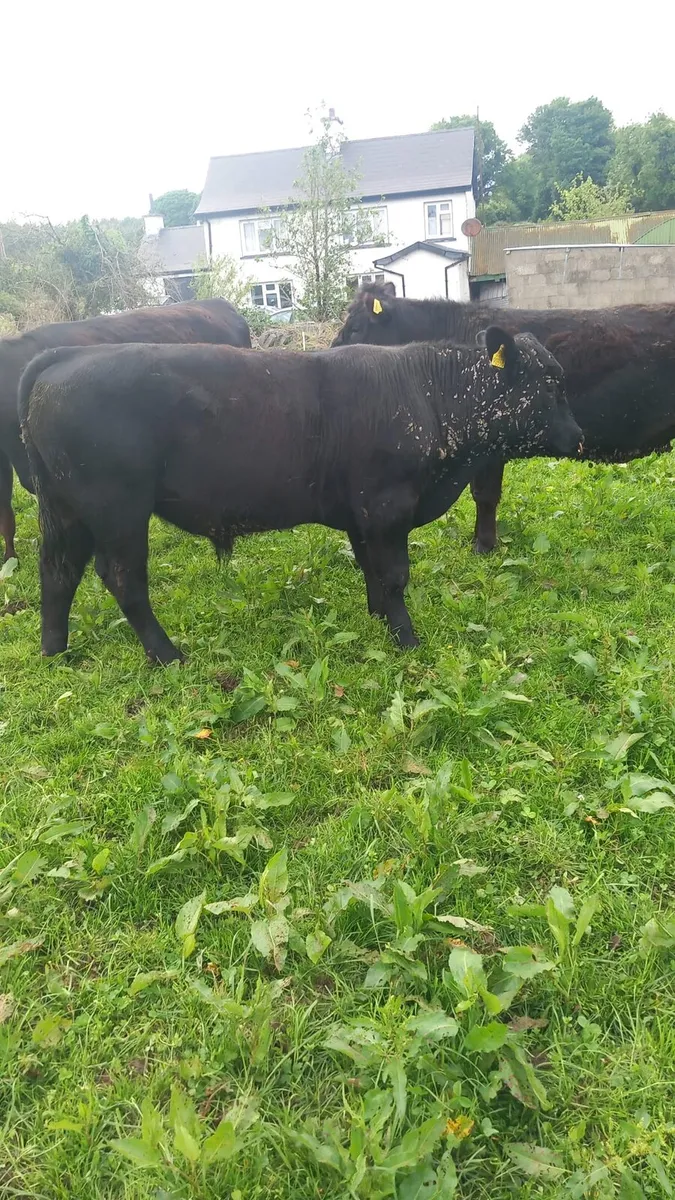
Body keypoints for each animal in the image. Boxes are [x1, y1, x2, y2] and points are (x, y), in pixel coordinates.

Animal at [18, 330, 581, 664]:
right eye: (551, 383)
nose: (579, 436)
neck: (429, 393)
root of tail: (66, 355)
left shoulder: (361, 516)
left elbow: (371, 571)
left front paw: (378, 619)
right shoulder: (387, 507)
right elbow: (395, 576)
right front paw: (406, 639)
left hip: (66, 510)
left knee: (58, 572)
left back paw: (55, 652)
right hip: (119, 511)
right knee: (121, 578)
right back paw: (167, 655)